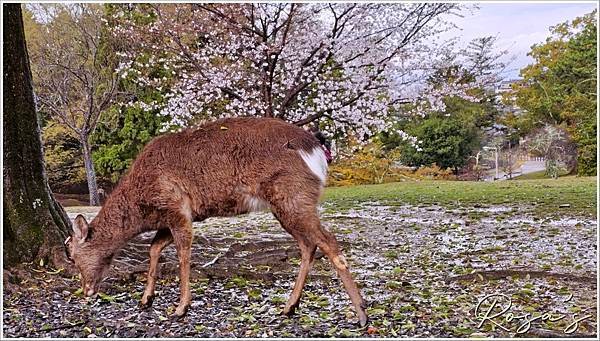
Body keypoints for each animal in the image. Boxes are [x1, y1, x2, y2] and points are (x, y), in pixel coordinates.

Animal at [63, 117, 368, 324]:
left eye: (73, 256)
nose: (86, 291)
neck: (143, 208)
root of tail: (317, 148)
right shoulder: (173, 218)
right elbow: (154, 248)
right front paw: (146, 299)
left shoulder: (177, 209)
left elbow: (183, 254)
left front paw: (180, 307)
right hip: (288, 205)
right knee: (308, 245)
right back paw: (290, 306)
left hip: (292, 196)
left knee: (328, 240)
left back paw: (362, 314)